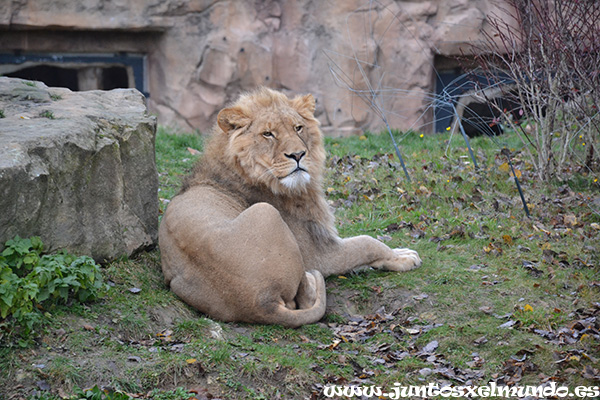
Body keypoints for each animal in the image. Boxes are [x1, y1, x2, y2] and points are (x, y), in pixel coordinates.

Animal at [159, 87, 422, 328]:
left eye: (298, 128)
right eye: (268, 134)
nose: (298, 154)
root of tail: (262, 303)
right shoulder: (321, 253)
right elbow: (367, 243)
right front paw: (404, 257)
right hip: (266, 213)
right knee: (305, 296)